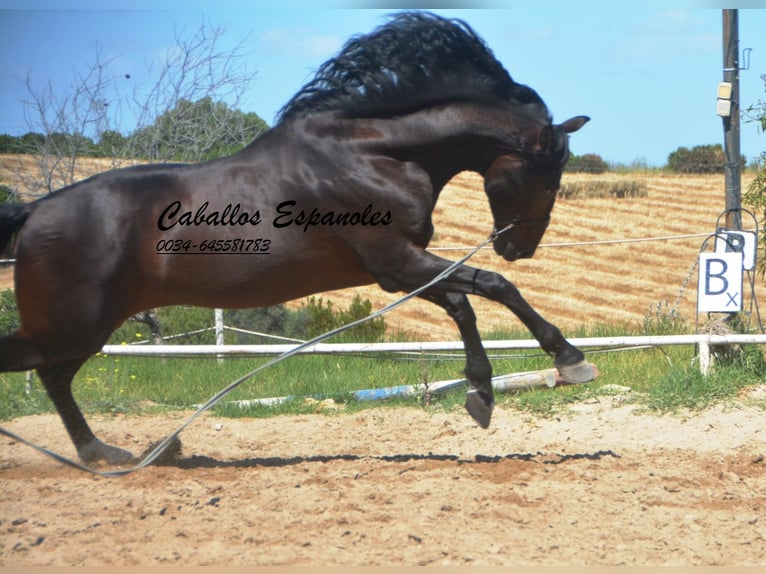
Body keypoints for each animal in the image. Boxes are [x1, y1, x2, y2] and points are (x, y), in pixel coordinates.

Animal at [0, 11, 592, 466]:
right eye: (548, 178)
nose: (520, 247)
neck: (374, 153)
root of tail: (35, 212)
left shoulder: (399, 269)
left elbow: (469, 300)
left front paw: (490, 391)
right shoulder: (395, 263)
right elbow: (487, 289)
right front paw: (560, 364)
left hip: (85, 328)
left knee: (55, 377)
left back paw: (103, 454)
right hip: (72, 324)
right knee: (44, 370)